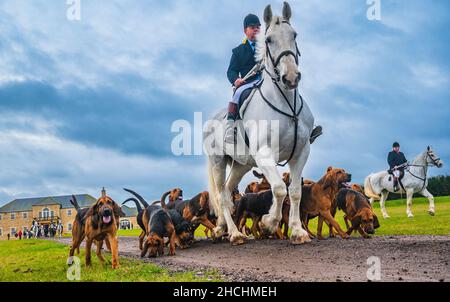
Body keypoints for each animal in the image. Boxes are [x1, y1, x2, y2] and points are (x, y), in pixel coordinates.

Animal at [205, 2, 314, 245]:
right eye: (269, 39)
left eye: (294, 35)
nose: (291, 77)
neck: (287, 104)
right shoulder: (265, 155)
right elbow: (279, 188)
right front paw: (268, 223)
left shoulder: (301, 152)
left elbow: (295, 191)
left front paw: (297, 230)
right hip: (218, 162)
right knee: (221, 195)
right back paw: (234, 233)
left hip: (241, 164)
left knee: (228, 192)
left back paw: (223, 228)